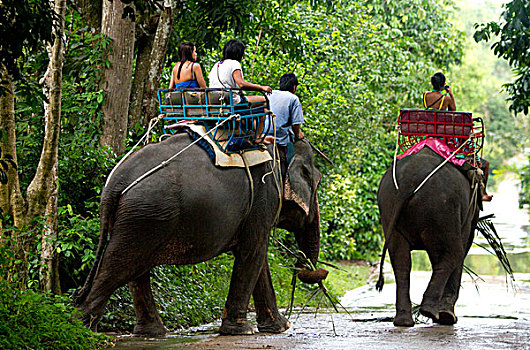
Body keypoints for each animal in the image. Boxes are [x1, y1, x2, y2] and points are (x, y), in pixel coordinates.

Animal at [72, 135, 322, 336]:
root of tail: (115, 182)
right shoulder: (264, 195)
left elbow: (256, 258)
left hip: (139, 219)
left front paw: (279, 327)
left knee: (135, 269)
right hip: (146, 215)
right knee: (119, 266)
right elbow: (253, 251)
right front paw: (244, 331)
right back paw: (81, 331)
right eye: (315, 183)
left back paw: (151, 332)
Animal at [376, 148, 478, 328]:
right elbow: (462, 248)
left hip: (388, 207)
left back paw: (404, 321)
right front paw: (447, 317)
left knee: (401, 261)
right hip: (442, 209)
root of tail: (408, 182)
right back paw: (434, 313)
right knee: (454, 254)